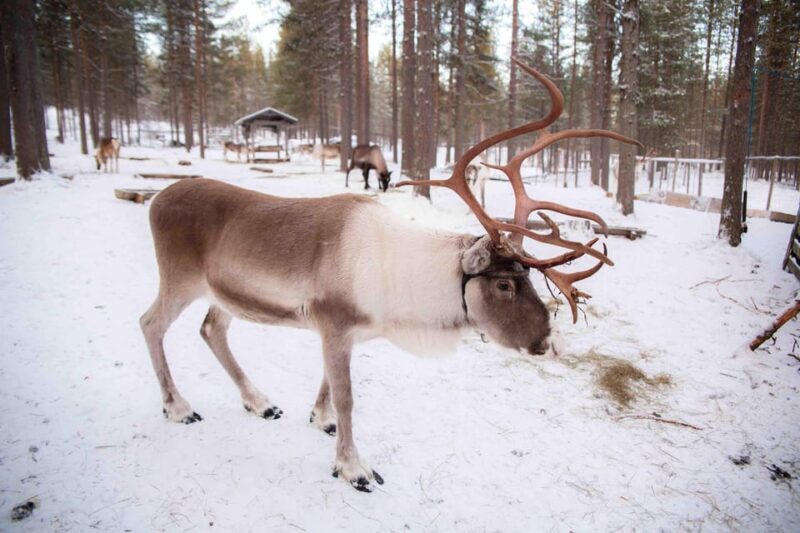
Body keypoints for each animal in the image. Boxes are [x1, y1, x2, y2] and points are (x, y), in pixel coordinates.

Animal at [139, 60, 640, 493]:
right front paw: (353, 468)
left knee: (211, 329)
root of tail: (157, 198)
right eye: (504, 283)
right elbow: (348, 397)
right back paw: (178, 407)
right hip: (179, 278)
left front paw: (319, 419)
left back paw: (260, 402)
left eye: (528, 279)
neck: (401, 287)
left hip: (221, 293)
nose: (553, 343)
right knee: (151, 323)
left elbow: (328, 385)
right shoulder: (334, 324)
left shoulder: (345, 332)